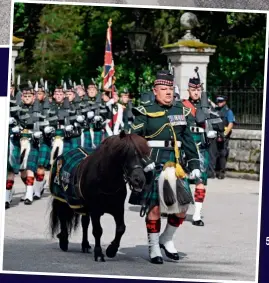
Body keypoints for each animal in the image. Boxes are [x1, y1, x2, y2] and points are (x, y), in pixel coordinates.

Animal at [49, 131, 151, 262]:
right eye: (125, 153)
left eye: (144, 154)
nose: (139, 181)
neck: (105, 180)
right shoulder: (95, 210)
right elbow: (98, 230)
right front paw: (98, 253)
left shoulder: (118, 209)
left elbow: (121, 228)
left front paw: (111, 250)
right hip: (62, 200)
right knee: (63, 217)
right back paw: (64, 241)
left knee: (85, 223)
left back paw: (85, 245)